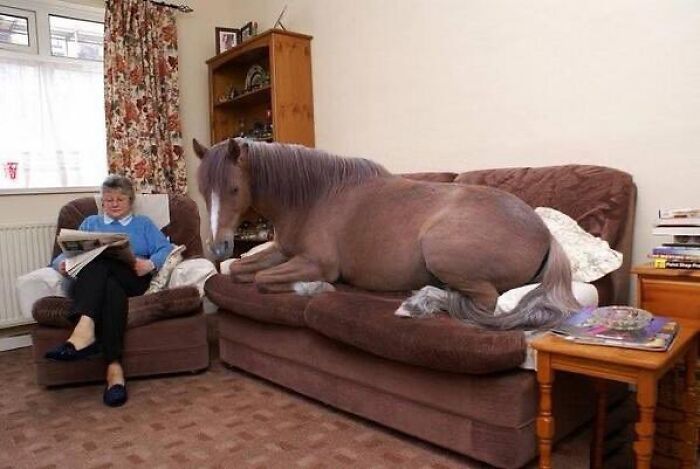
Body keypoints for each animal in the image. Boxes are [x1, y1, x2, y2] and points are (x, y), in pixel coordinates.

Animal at [194, 137, 580, 330]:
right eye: (202, 189)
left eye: (233, 189)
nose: (218, 246)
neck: (314, 197)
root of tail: (545, 233)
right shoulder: (285, 252)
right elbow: (239, 270)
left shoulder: (315, 263)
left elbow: (262, 281)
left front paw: (313, 289)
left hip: (441, 251)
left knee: (484, 304)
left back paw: (415, 306)